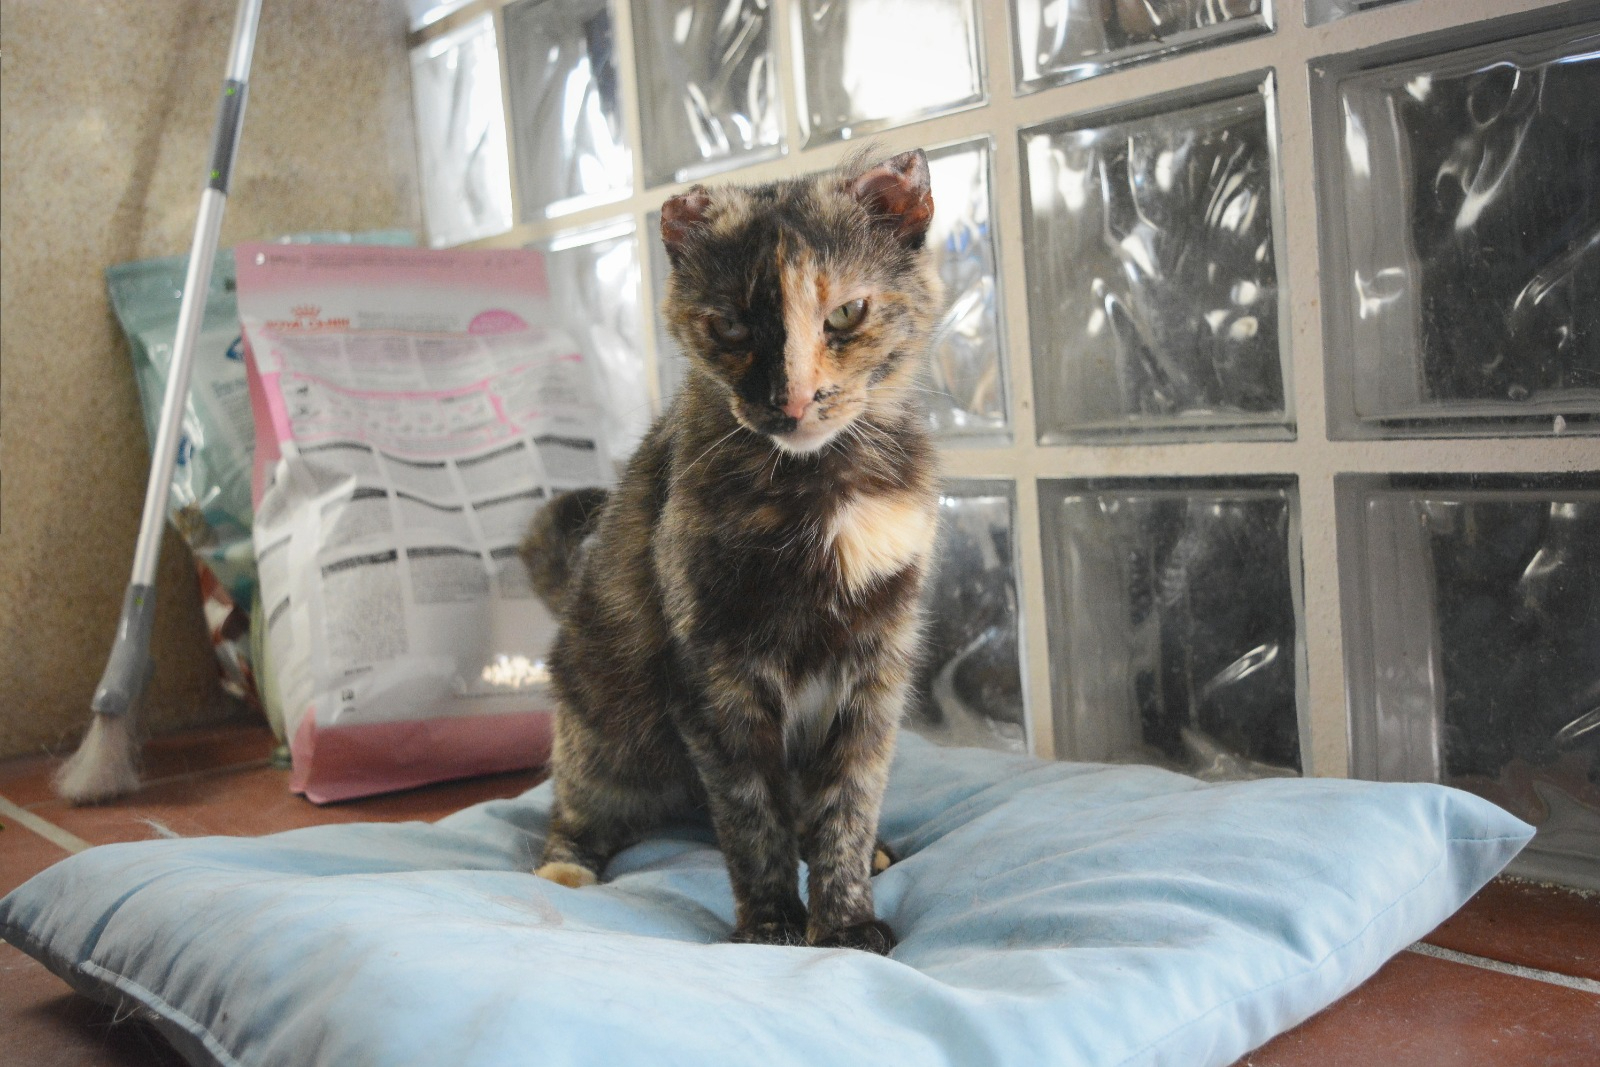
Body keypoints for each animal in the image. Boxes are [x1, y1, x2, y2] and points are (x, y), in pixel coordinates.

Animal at [521, 148, 942, 955]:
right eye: (730, 325)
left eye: (846, 313)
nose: (792, 398)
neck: (816, 487)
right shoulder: (715, 669)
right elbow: (752, 813)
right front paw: (773, 924)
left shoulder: (878, 660)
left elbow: (850, 797)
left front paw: (845, 917)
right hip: (603, 720)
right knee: (577, 799)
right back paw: (564, 871)